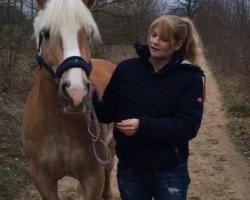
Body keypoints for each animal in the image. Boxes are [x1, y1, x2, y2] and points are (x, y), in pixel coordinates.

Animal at [21, 0, 115, 199]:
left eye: (88, 33)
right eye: (46, 33)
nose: (76, 92)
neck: (58, 123)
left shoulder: (93, 177)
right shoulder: (42, 178)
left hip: (110, 151)